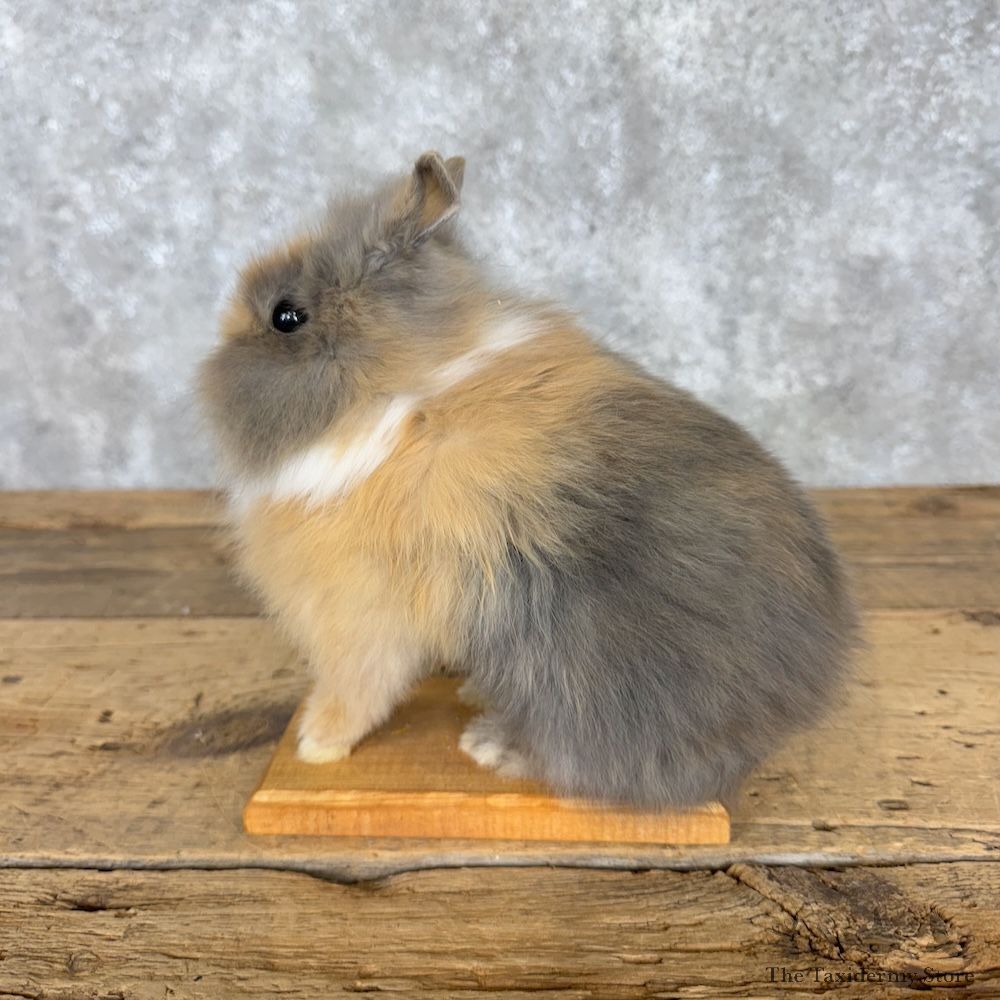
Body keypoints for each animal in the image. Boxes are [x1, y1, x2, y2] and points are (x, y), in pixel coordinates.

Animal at [198, 150, 858, 809]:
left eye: (286, 316)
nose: (214, 349)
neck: (401, 388)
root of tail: (803, 689)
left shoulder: (359, 612)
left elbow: (358, 688)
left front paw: (317, 745)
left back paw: (490, 745)